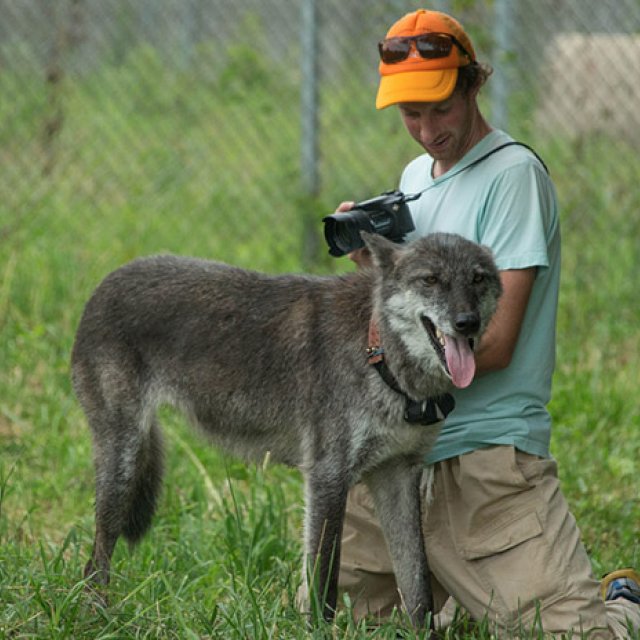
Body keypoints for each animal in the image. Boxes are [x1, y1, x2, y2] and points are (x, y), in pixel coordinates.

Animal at [70, 230, 500, 624]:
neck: (377, 351)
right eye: (430, 279)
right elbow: (324, 584)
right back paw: (97, 618)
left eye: (478, 278)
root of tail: (103, 285)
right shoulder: (328, 477)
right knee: (96, 558)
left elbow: (417, 586)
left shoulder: (397, 475)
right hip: (121, 466)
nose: (466, 323)